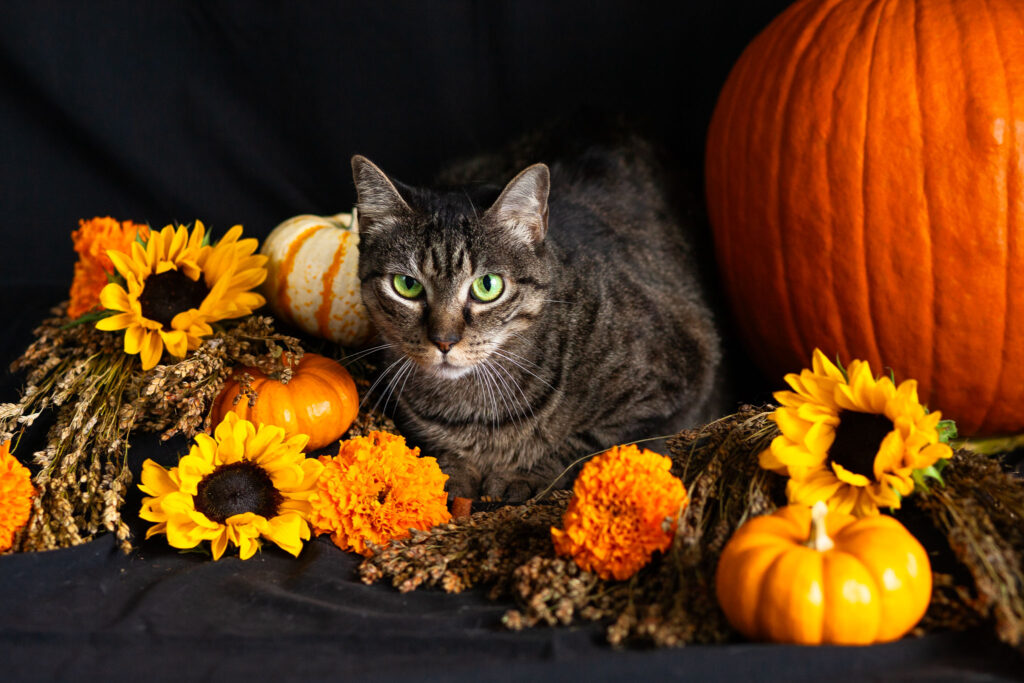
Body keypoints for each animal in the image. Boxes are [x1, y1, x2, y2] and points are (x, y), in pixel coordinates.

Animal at [356, 129, 724, 501]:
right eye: (407, 285)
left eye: (488, 285)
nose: (444, 341)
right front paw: (452, 470)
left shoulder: (674, 385)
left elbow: (585, 445)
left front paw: (524, 472)